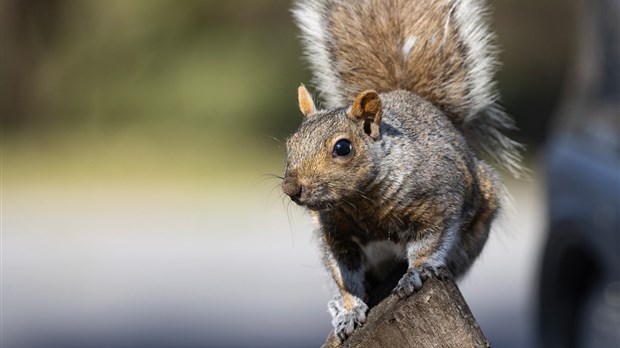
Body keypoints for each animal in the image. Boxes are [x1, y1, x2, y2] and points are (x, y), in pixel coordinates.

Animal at [284, 0, 520, 342]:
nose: (291, 189)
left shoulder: (439, 202)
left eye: (343, 148)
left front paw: (416, 273)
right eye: (290, 143)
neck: (360, 203)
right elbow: (346, 276)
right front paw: (349, 310)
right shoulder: (335, 236)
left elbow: (430, 242)